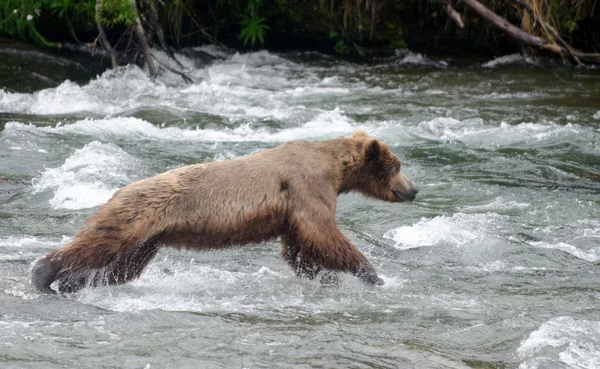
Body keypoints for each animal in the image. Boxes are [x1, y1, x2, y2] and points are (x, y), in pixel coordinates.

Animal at [31, 130, 418, 294]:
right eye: (398, 165)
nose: (414, 190)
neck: (335, 171)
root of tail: (118, 188)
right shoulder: (307, 187)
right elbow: (323, 234)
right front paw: (371, 274)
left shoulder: (292, 209)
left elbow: (299, 245)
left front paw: (323, 276)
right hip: (139, 215)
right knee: (100, 241)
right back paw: (44, 274)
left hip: (148, 240)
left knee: (121, 266)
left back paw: (74, 283)